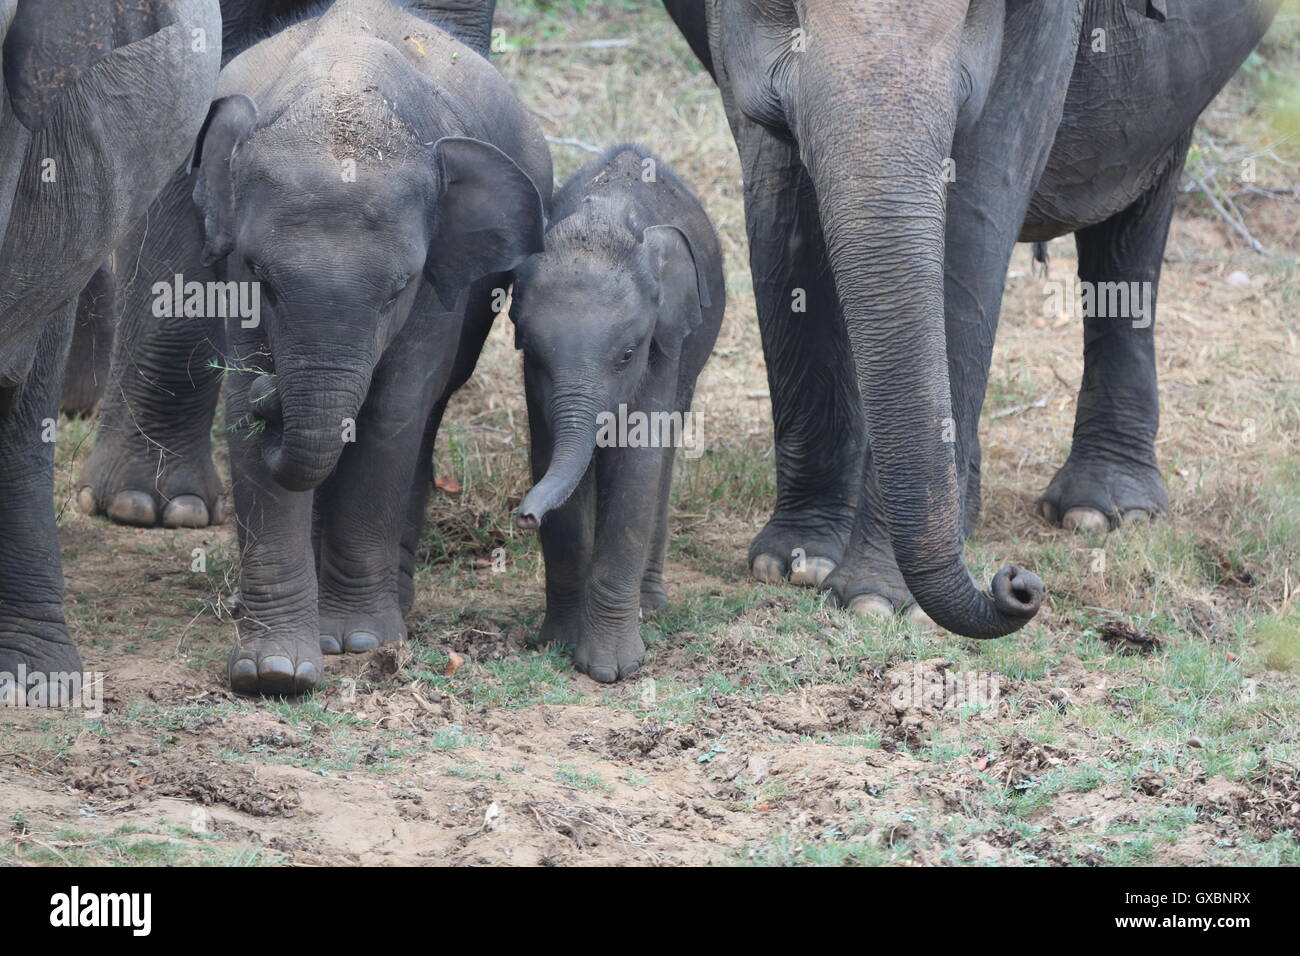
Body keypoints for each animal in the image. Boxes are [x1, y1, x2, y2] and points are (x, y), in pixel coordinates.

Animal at [512, 145, 728, 686]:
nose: (524, 516)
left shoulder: (665, 340)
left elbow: (639, 463)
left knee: (666, 453)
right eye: (534, 354)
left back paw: (650, 604)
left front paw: (612, 669)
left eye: (628, 354)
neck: (604, 218)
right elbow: (549, 454)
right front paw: (560, 643)